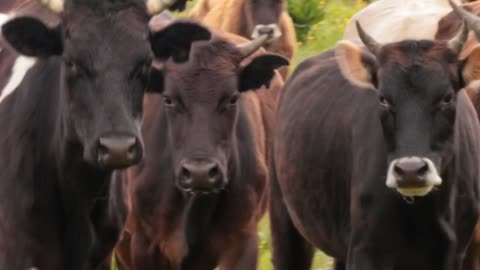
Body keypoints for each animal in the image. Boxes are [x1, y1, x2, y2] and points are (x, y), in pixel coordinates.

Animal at [270, 6, 480, 270]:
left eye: (447, 97)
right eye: (383, 99)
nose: (410, 170)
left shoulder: (456, 254)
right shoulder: (365, 251)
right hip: (285, 220)